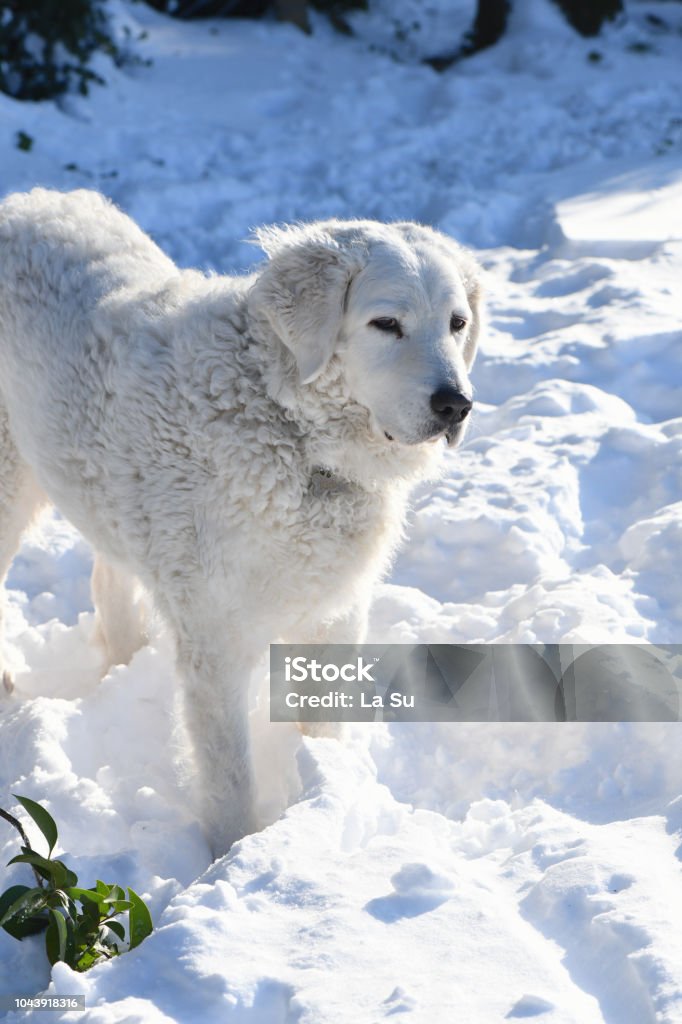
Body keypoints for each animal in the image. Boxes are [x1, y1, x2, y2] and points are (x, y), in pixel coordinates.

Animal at [0, 190, 477, 856]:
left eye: (457, 324)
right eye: (386, 324)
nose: (456, 405)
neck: (293, 434)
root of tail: (26, 199)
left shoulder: (334, 615)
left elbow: (322, 727)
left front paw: (325, 799)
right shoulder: (215, 639)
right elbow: (230, 778)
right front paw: (231, 857)